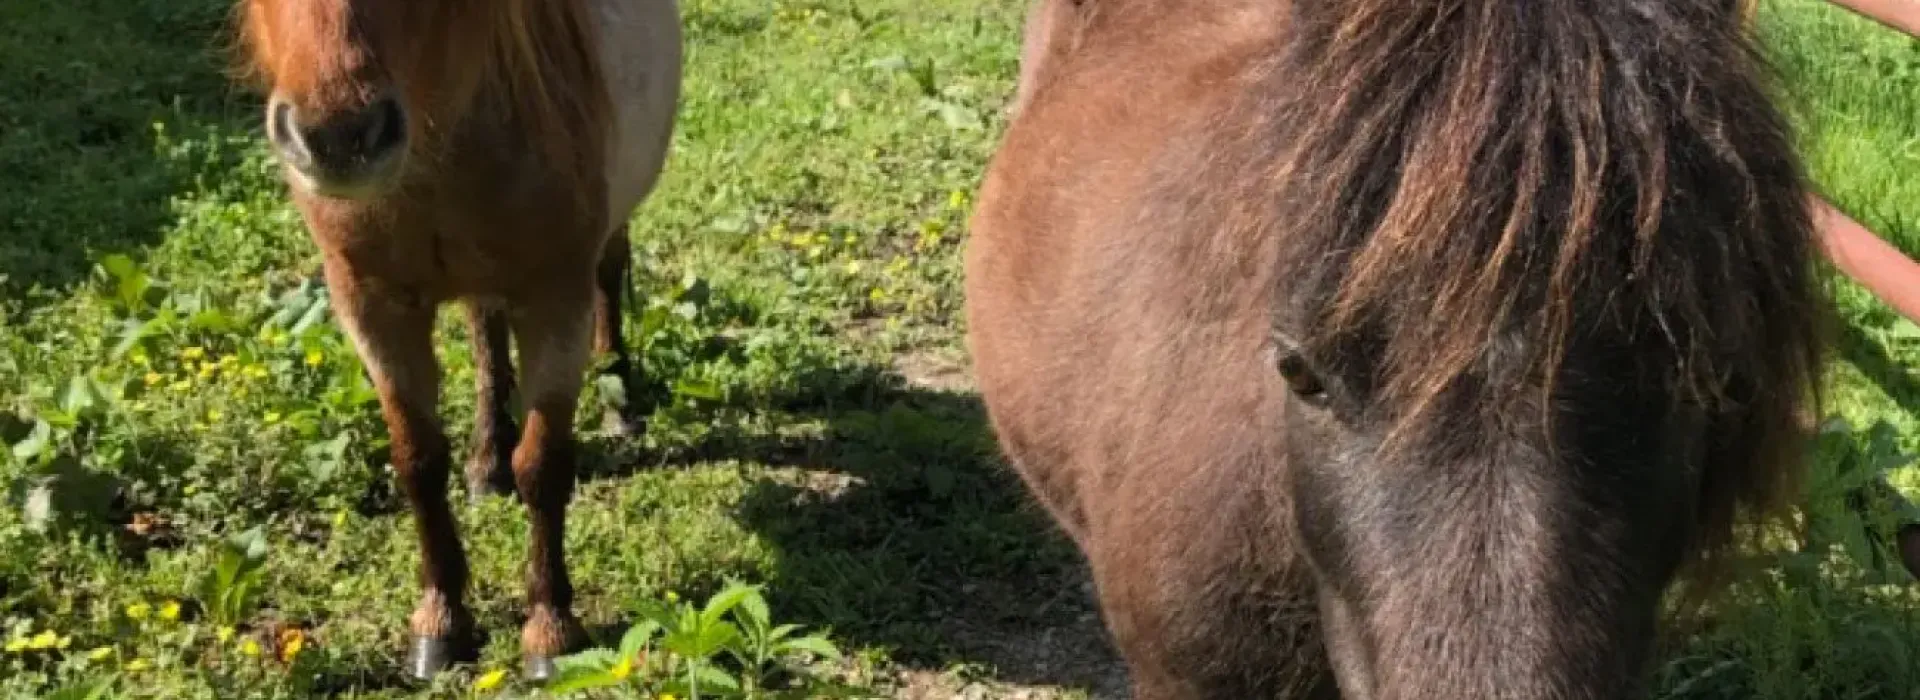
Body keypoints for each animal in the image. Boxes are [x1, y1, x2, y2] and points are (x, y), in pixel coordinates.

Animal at [236, 0, 681, 680]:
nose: (338, 137)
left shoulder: (557, 299)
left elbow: (544, 465)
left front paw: (551, 628)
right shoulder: (371, 306)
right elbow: (418, 461)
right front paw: (440, 621)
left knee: (610, 268)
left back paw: (619, 402)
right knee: (484, 331)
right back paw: (487, 458)